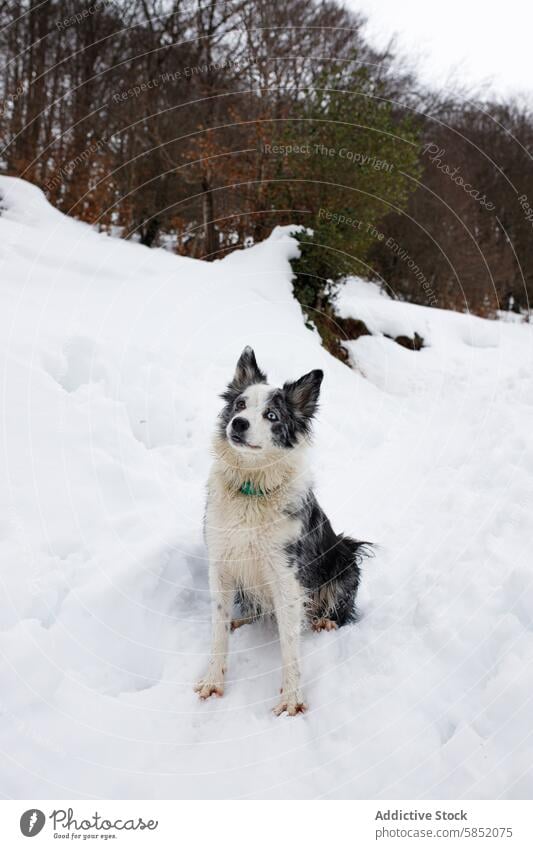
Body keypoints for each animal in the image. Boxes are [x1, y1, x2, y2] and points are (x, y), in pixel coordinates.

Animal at [195, 348, 370, 712]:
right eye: (240, 404)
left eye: (272, 415)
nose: (238, 423)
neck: (251, 487)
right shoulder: (221, 564)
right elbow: (217, 629)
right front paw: (213, 680)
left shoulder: (286, 574)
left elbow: (290, 645)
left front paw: (291, 698)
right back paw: (240, 621)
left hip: (345, 557)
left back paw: (326, 621)